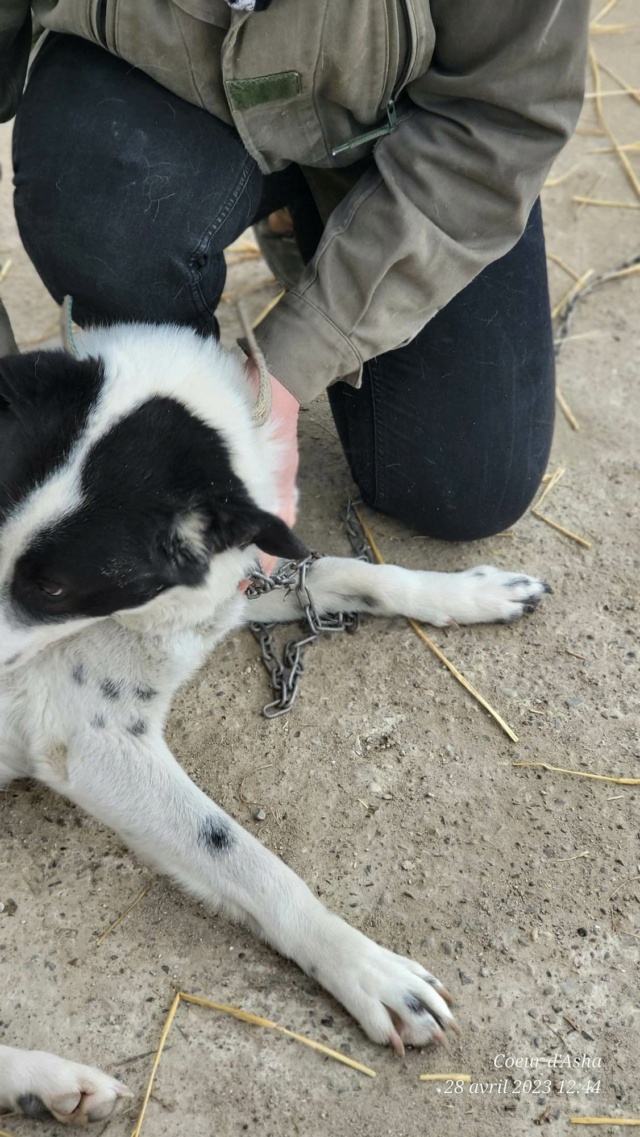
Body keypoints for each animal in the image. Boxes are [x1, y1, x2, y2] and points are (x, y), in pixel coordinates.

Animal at [1, 325, 550, 1123]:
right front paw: (367, 969)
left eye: (53, 588)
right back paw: (46, 1078)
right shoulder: (94, 742)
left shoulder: (240, 577)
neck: (143, 621)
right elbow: (247, 858)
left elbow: (352, 572)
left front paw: (466, 593)